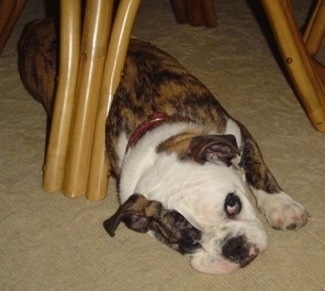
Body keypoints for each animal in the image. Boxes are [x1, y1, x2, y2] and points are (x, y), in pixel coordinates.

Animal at [19, 18, 308, 276]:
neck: (154, 127)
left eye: (232, 204)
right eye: (189, 242)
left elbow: (257, 168)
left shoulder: (236, 131)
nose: (233, 247)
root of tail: (36, 25)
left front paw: (281, 207)